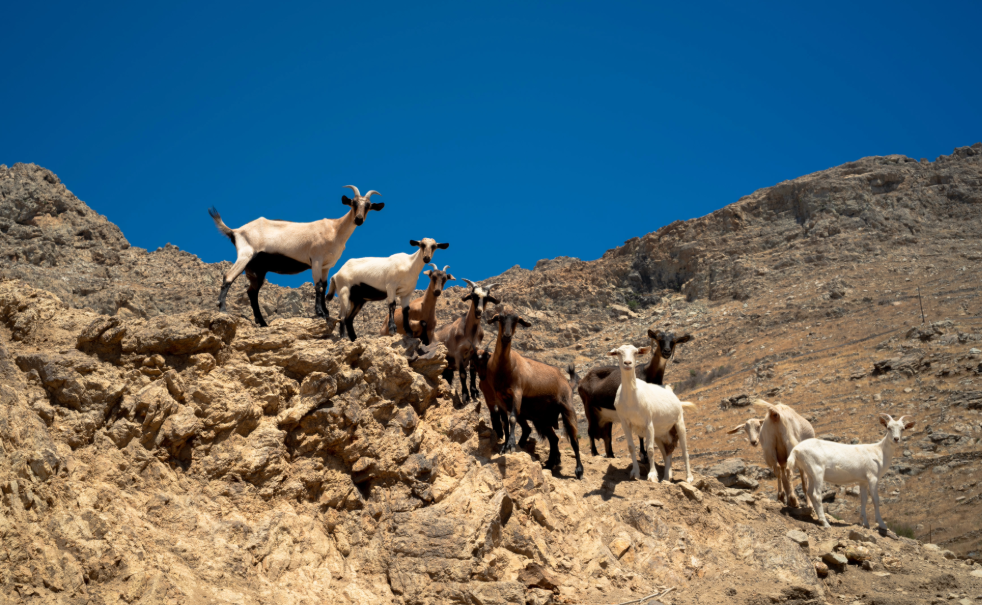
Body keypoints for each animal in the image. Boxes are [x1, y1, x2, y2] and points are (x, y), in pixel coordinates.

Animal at [208, 185, 382, 327]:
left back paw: (262, 322)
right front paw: (320, 313)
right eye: (353, 203)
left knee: (252, 292)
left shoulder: (326, 266)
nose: (358, 219)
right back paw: (223, 309)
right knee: (228, 276)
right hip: (245, 254)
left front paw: (326, 313)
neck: (335, 229)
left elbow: (324, 286)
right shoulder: (316, 259)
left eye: (368, 206)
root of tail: (235, 231)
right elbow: (318, 286)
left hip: (256, 269)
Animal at [485, 306, 583, 479]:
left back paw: (578, 470)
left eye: (517, 320)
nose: (507, 336)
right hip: (543, 419)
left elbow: (512, 418)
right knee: (554, 439)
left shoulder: (517, 392)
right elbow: (505, 421)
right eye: (500, 318)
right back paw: (549, 464)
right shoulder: (499, 397)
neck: (504, 366)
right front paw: (504, 445)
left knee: (573, 438)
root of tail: (566, 381)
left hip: (567, 408)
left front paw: (510, 445)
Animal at [578, 329, 692, 462]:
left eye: (673, 341)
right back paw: (594, 452)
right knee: (590, 431)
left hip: (605, 416)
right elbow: (640, 435)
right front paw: (643, 455)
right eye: (659, 339)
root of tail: (582, 381)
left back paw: (611, 455)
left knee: (607, 436)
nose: (666, 352)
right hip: (589, 409)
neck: (647, 373)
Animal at [609, 344, 693, 484]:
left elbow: (650, 450)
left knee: (684, 450)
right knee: (667, 452)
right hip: (660, 433)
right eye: (618, 353)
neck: (632, 398)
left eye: (636, 352)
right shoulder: (625, 423)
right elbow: (631, 447)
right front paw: (635, 473)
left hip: (679, 422)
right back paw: (666, 478)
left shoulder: (648, 422)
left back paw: (689, 477)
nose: (628, 363)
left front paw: (652, 475)